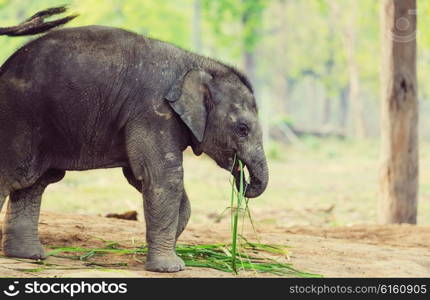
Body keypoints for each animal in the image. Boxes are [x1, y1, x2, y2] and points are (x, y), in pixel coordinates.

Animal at [0, 8, 268, 274]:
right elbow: (164, 178)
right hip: (19, 116)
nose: (242, 178)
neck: (198, 63)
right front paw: (169, 268)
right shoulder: (153, 112)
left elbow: (146, 180)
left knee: (34, 182)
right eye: (242, 129)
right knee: (14, 175)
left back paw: (29, 256)